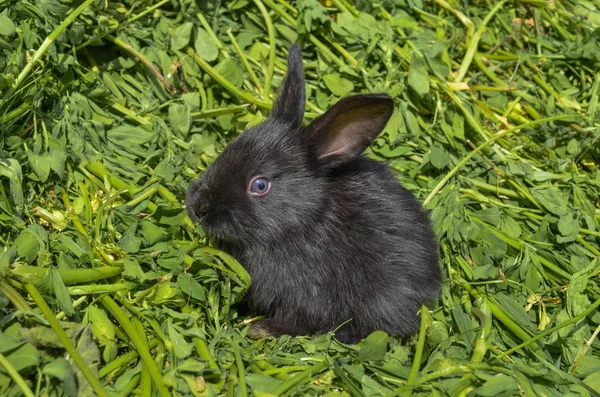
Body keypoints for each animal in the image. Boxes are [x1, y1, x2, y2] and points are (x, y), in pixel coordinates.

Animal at [185, 44, 442, 342]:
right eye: (228, 148)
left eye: (260, 185)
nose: (198, 207)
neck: (303, 218)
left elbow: (297, 321)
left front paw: (260, 330)